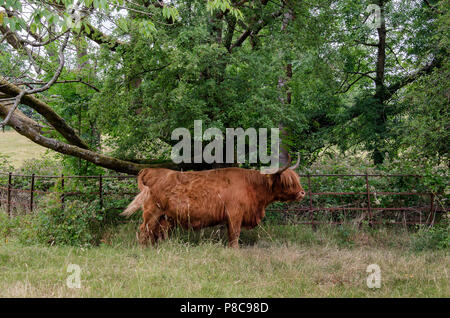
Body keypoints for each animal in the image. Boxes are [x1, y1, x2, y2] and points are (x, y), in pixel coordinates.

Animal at [120, 154, 306, 248]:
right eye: (287, 182)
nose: (302, 193)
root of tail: (151, 171)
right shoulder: (235, 214)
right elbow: (234, 234)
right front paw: (234, 250)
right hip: (152, 212)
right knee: (144, 230)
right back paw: (144, 249)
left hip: (164, 216)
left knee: (156, 232)